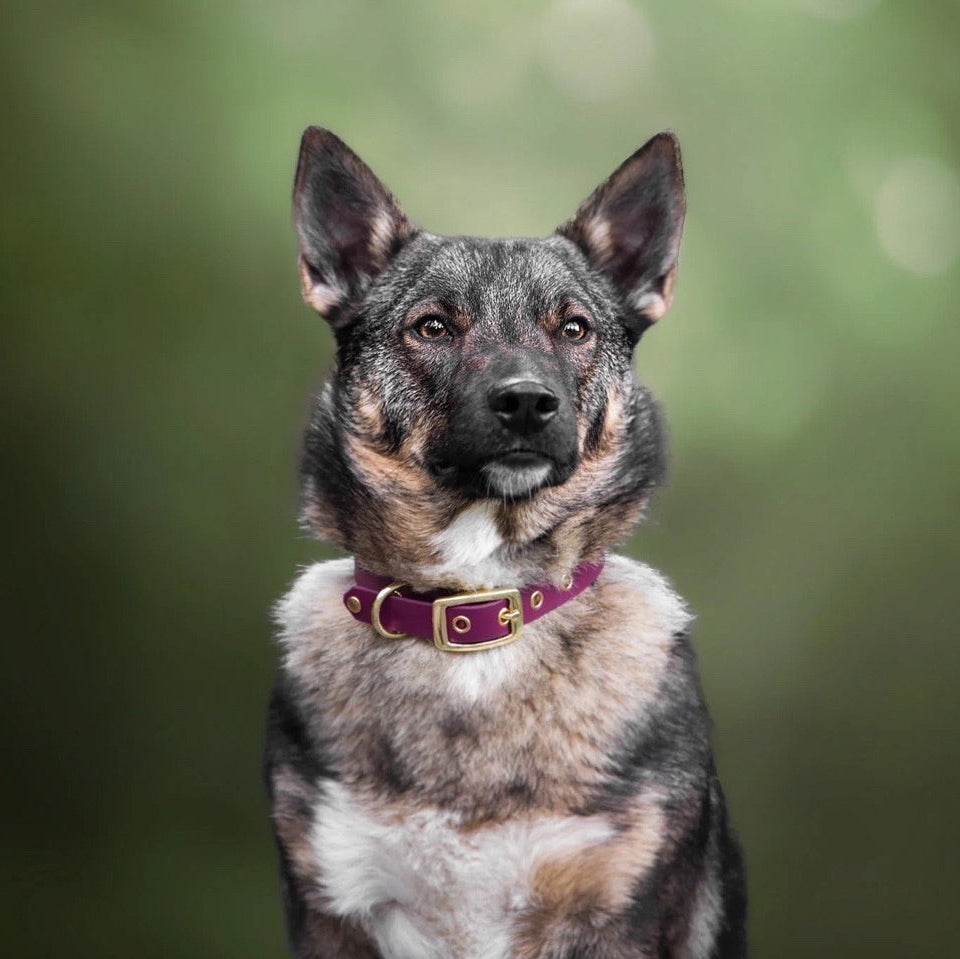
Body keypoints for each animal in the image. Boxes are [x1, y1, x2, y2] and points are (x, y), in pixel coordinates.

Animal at [264, 127, 747, 958]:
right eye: (432, 326)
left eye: (574, 327)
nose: (526, 402)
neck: (479, 601)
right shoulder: (334, 914)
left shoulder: (618, 917)